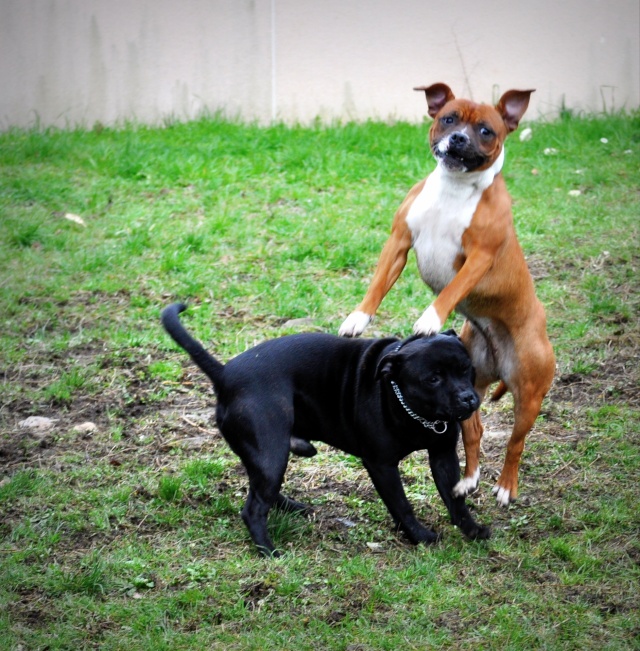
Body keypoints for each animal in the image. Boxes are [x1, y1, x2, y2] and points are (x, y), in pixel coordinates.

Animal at [161, 304, 490, 556]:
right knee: (254, 507)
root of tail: (224, 375)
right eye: (433, 379)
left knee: (261, 488)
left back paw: (292, 508)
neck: (409, 406)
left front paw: (471, 529)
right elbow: (401, 504)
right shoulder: (382, 465)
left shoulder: (443, 455)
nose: (468, 397)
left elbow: (455, 499)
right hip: (271, 454)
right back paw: (269, 551)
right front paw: (420, 536)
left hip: (268, 457)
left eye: (467, 369)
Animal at [340, 83, 556, 510]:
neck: (454, 190)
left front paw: (429, 320)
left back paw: (506, 486)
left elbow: (452, 290)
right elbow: (377, 284)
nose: (458, 138)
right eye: (448, 118)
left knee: (515, 443)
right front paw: (359, 317)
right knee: (475, 431)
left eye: (486, 130)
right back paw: (468, 479)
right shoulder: (399, 242)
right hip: (469, 389)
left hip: (529, 395)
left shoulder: (478, 259)